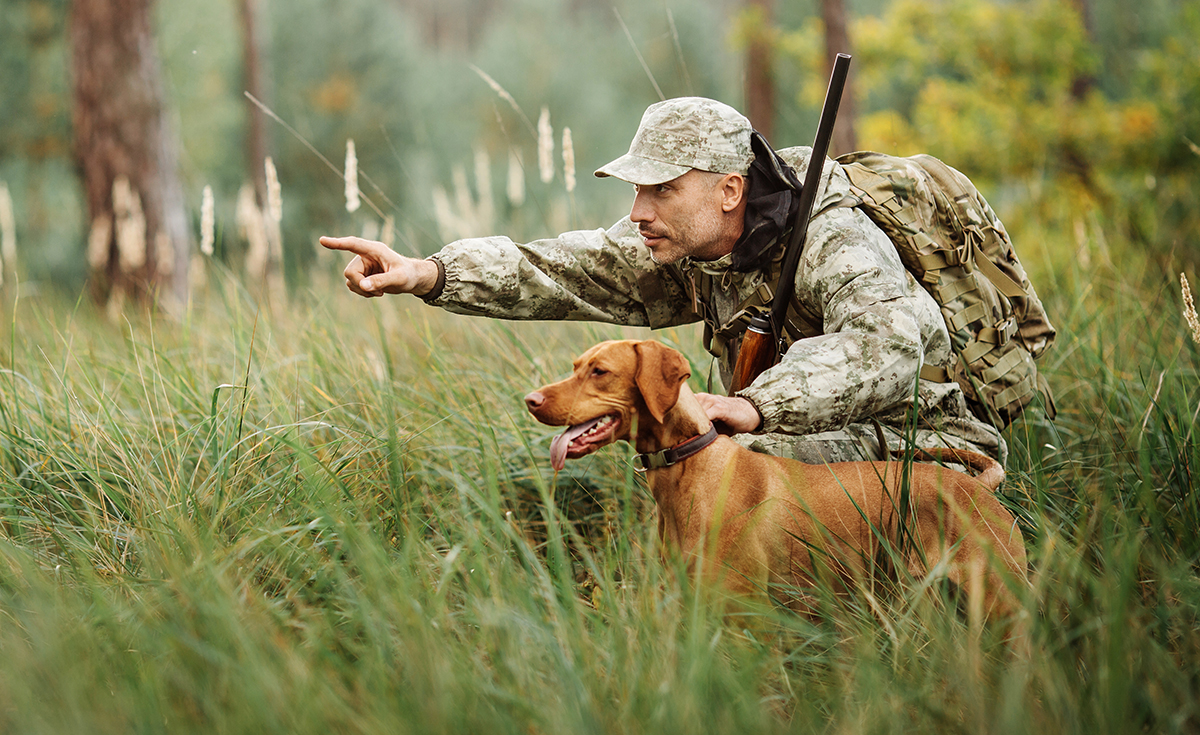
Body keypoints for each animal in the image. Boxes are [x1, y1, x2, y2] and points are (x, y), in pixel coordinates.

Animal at [525, 341, 1032, 614]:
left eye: (600, 371)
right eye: (576, 367)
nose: (531, 400)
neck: (690, 466)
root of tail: (978, 486)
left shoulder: (743, 611)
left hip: (1001, 602)